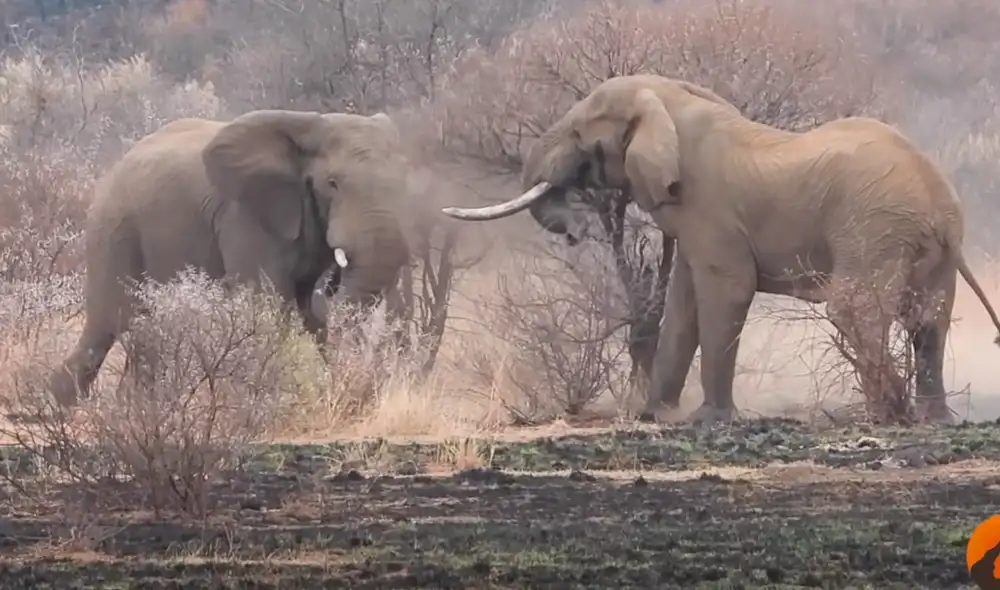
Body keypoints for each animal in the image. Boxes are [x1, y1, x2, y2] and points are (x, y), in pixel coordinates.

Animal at [49, 109, 411, 407]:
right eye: (332, 183)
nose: (334, 283)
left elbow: (305, 310)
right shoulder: (244, 216)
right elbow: (265, 304)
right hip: (114, 231)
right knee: (110, 323)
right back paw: (65, 406)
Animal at [440, 74, 1000, 425]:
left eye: (580, 133)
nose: (575, 227)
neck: (668, 101)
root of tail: (938, 199)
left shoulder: (709, 209)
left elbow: (725, 290)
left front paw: (706, 419)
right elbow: (684, 302)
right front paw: (653, 416)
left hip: (874, 227)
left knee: (854, 310)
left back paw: (888, 415)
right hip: (920, 244)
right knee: (929, 319)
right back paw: (932, 419)